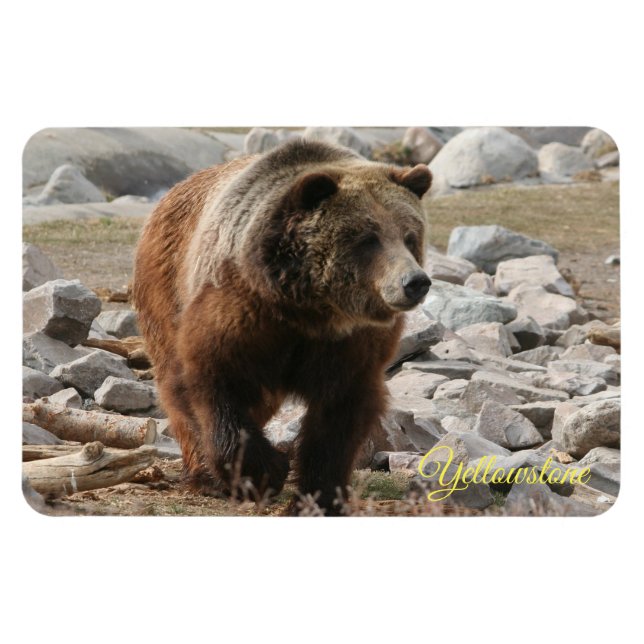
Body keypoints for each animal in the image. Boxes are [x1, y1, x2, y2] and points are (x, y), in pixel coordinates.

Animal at [133, 138, 432, 515]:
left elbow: (339, 415)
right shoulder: (240, 312)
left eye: (409, 236)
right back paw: (204, 475)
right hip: (166, 283)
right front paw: (263, 473)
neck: (309, 311)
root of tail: (172, 193)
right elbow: (212, 381)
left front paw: (319, 496)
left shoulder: (351, 345)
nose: (415, 282)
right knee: (176, 381)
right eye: (368, 238)